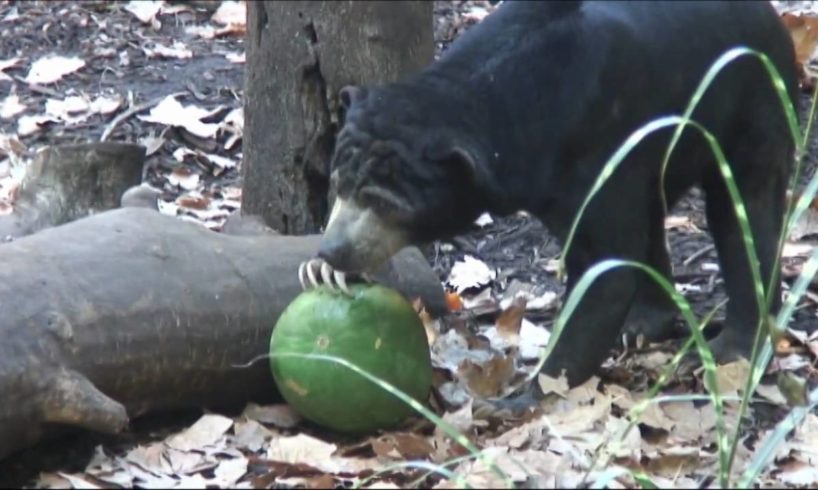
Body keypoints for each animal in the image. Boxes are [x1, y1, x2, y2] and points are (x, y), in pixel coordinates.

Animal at [296, 2, 792, 406]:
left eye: (387, 204)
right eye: (338, 185)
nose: (332, 250)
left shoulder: (597, 154)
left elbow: (603, 269)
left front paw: (525, 396)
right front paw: (322, 272)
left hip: (750, 101)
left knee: (742, 215)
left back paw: (734, 350)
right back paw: (641, 327)